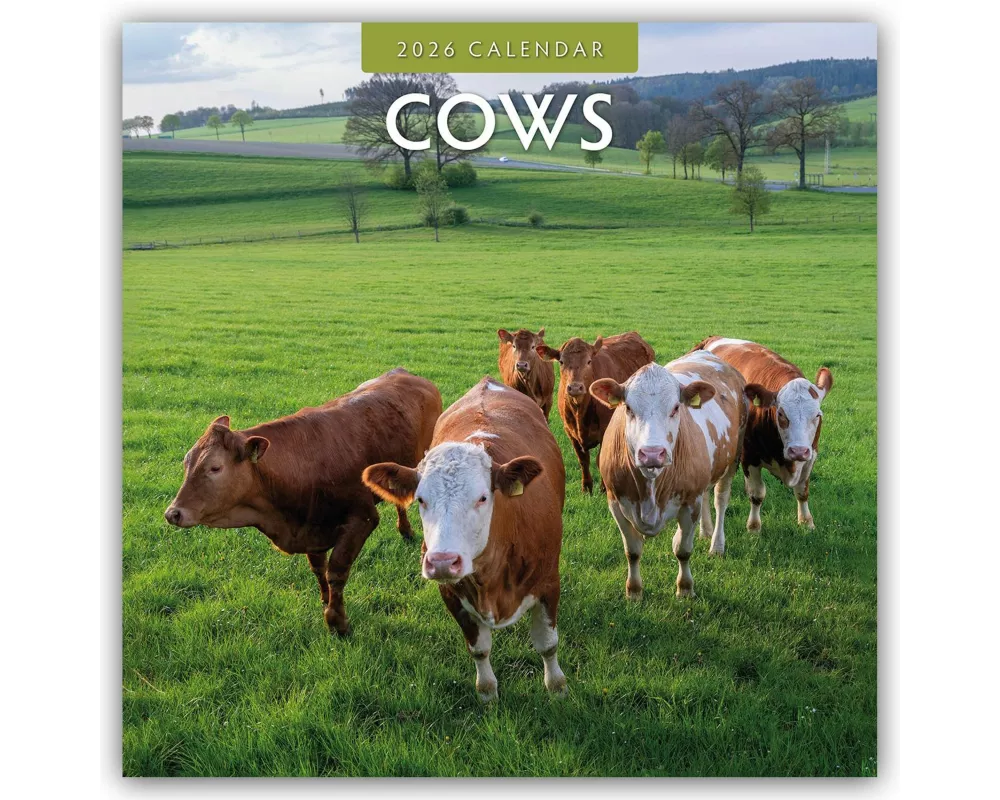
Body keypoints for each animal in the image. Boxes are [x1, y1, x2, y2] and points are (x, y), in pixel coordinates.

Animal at [163, 368, 442, 637]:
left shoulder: (362, 518)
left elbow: (336, 570)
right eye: (187, 461)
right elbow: (319, 568)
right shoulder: (311, 527)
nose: (173, 513)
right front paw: (325, 600)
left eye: (215, 468)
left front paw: (337, 621)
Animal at [363, 377, 566, 703]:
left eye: (482, 497)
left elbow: (547, 643)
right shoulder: (451, 594)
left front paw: (557, 687)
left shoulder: (549, 582)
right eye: (421, 499)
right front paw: (487, 693)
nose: (443, 561)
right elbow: (479, 649)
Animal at [537, 332, 655, 494]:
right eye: (561, 362)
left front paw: (604, 488)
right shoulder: (569, 431)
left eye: (588, 361)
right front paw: (586, 487)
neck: (580, 411)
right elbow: (583, 459)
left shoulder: (605, 429)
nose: (575, 387)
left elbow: (600, 459)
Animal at [590, 350, 747, 601]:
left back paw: (716, 545)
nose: (652, 453)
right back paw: (705, 532)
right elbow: (632, 551)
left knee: (720, 500)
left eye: (675, 407)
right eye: (628, 408)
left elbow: (682, 550)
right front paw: (634, 591)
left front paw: (685, 588)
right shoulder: (615, 502)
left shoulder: (690, 503)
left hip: (733, 458)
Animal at [694, 337, 833, 531]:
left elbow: (802, 491)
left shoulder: (811, 455)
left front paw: (806, 521)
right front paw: (754, 526)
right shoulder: (749, 457)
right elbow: (757, 494)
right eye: (781, 413)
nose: (798, 451)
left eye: (817, 415)